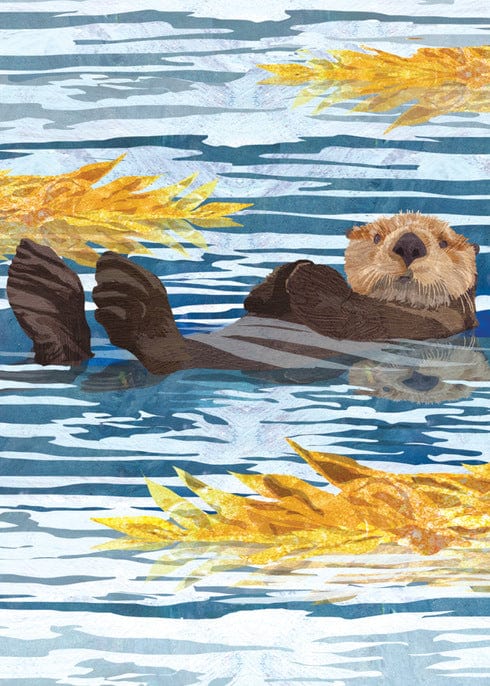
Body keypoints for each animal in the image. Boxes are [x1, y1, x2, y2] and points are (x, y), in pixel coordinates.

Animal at [5, 212, 479, 375]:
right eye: (379, 235)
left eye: (443, 242)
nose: (409, 244)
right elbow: (262, 301)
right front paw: (286, 273)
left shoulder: (422, 323)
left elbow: (348, 313)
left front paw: (310, 275)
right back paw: (39, 281)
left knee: (160, 350)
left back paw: (124, 293)